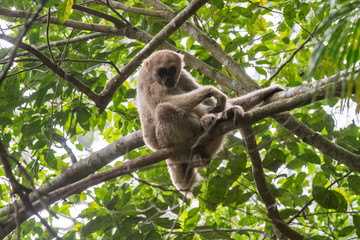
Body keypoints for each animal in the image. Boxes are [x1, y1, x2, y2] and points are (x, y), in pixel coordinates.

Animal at [136, 49, 282, 197]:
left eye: (172, 70)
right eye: (161, 72)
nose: (168, 79)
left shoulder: (182, 75)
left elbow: (220, 102)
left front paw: (267, 92)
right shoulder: (145, 78)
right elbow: (160, 102)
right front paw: (210, 90)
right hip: (165, 139)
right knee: (162, 109)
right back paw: (205, 125)